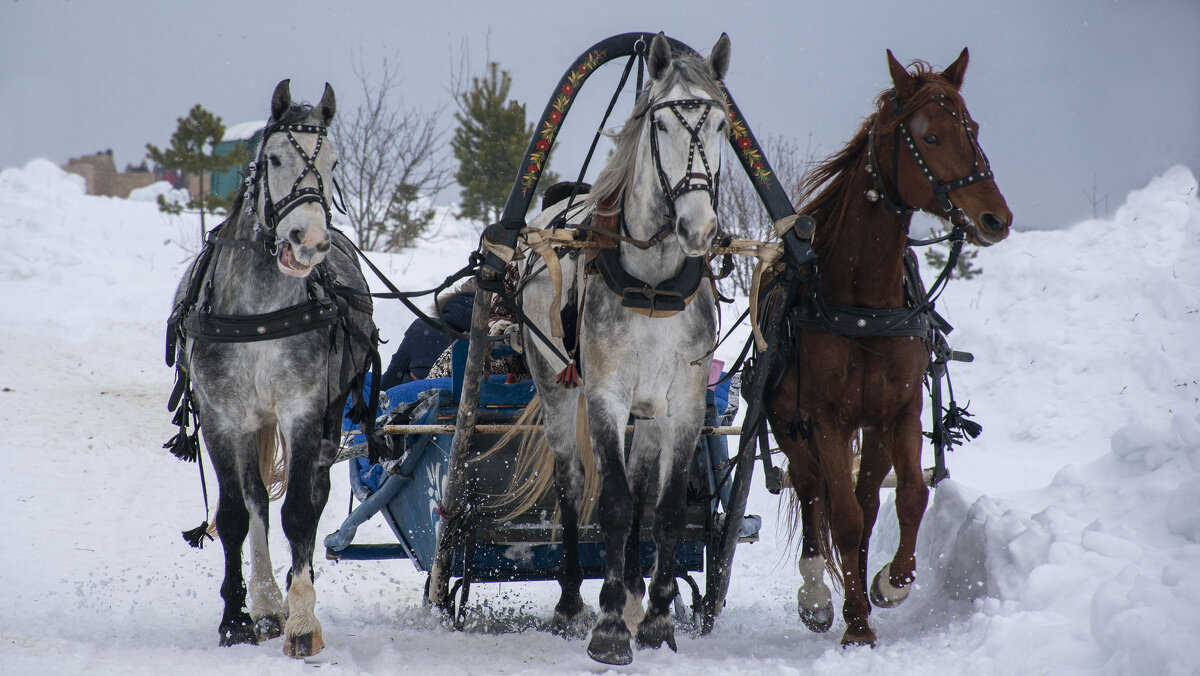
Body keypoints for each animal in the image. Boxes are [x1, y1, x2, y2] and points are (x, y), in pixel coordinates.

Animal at [516, 33, 729, 667]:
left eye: (721, 124)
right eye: (659, 124)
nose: (698, 228)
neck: (654, 284)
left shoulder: (685, 403)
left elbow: (663, 511)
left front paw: (655, 618)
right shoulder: (605, 396)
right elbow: (609, 503)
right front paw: (610, 628)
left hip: (651, 410)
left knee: (640, 487)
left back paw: (634, 589)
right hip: (557, 391)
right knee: (570, 482)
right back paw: (571, 601)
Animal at [763, 50, 1008, 648]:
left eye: (972, 129)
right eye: (930, 135)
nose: (996, 218)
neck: (863, 302)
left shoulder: (901, 410)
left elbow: (910, 495)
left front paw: (890, 584)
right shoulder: (825, 418)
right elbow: (843, 516)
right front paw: (854, 625)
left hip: (870, 426)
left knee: (869, 496)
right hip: (790, 425)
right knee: (813, 491)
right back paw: (817, 595)